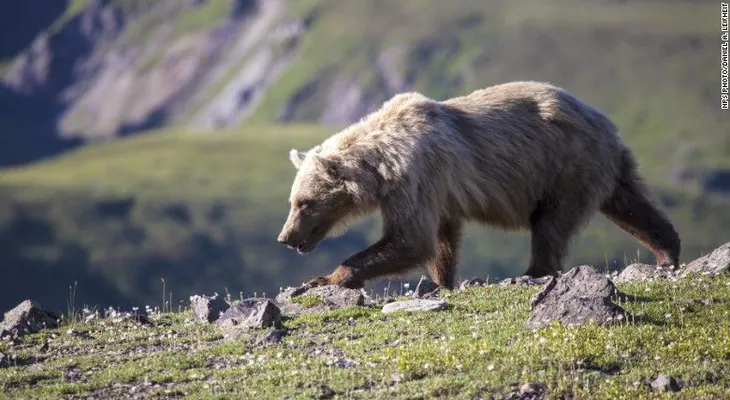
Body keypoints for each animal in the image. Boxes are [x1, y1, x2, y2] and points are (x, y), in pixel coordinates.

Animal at [277, 81, 681, 290]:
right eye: (293, 201)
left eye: (304, 202)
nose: (285, 237)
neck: (382, 166)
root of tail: (605, 123)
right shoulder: (437, 189)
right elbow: (441, 239)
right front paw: (441, 281)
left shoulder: (417, 175)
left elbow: (410, 238)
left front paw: (326, 278)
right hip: (605, 166)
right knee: (632, 205)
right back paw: (667, 251)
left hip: (564, 167)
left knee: (551, 224)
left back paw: (533, 271)